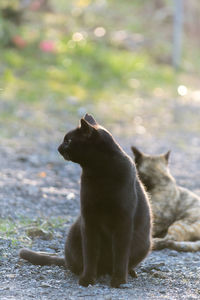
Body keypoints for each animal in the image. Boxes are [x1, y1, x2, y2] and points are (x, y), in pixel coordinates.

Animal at [19, 113, 152, 288]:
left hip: (144, 244)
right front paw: (87, 279)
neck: (99, 172)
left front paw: (118, 280)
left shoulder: (123, 222)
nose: (58, 147)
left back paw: (129, 273)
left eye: (68, 140)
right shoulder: (89, 219)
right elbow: (90, 252)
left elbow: (121, 254)